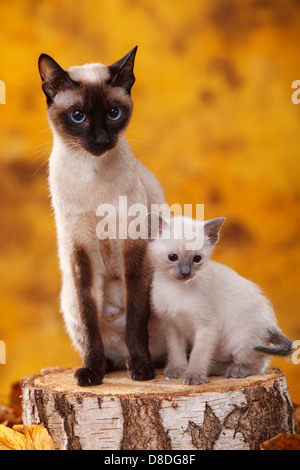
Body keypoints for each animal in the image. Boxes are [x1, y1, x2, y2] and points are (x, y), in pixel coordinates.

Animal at [38, 47, 166, 386]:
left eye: (113, 113)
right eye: (78, 116)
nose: (99, 140)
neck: (90, 173)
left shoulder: (133, 248)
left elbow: (134, 319)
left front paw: (142, 370)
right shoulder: (80, 250)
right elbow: (90, 319)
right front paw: (91, 372)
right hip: (68, 297)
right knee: (95, 339)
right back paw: (107, 366)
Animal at [148, 215, 292, 384]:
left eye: (197, 259)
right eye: (173, 257)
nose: (185, 272)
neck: (175, 288)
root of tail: (270, 322)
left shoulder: (207, 327)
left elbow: (198, 354)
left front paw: (193, 376)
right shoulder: (173, 326)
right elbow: (177, 350)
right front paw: (177, 370)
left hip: (240, 341)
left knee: (260, 363)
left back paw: (237, 370)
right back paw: (213, 369)